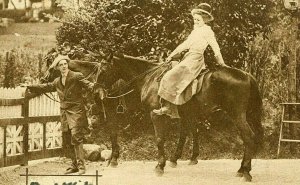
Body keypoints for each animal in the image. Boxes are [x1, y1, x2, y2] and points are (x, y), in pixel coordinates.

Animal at [93, 52, 262, 181]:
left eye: (103, 69)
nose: (95, 91)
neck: (150, 78)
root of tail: (247, 75)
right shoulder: (186, 115)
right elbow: (187, 133)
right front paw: (178, 159)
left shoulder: (157, 115)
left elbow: (160, 139)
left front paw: (160, 165)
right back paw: (243, 169)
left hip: (237, 115)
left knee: (249, 137)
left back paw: (245, 171)